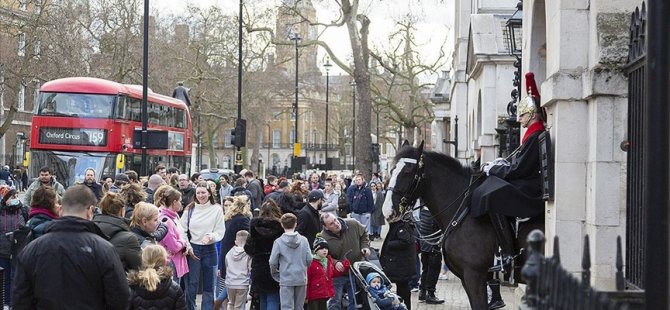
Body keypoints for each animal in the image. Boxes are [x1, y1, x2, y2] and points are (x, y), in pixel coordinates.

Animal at [384, 142, 544, 308]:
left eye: (408, 172)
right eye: (392, 170)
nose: (387, 210)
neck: (463, 211)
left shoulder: (474, 276)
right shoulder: (466, 278)